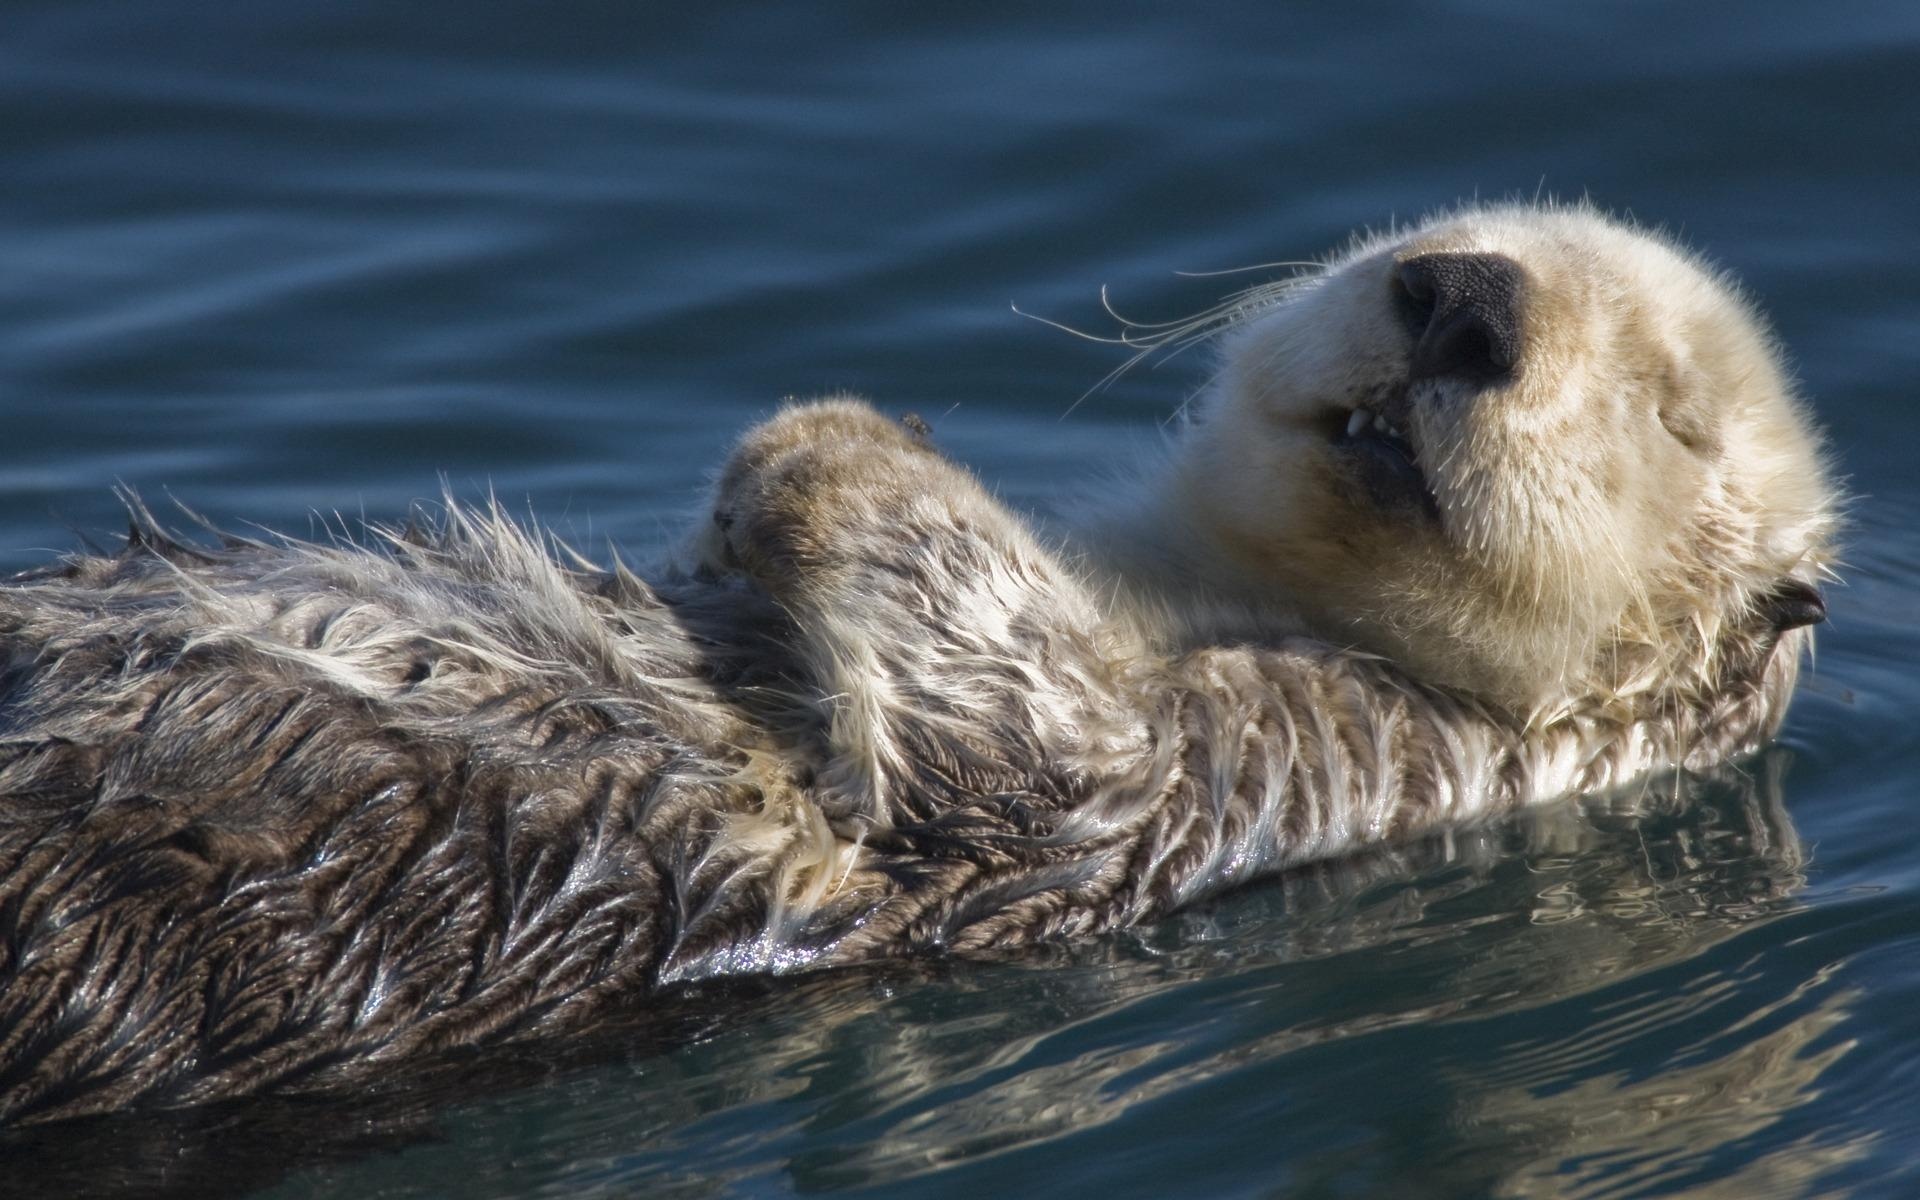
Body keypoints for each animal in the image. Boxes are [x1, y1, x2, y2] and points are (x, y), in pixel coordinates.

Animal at [0, 201, 1835, 1121]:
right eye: (1449, 233)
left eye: (1671, 413)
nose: (1463, 300)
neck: (1196, 586)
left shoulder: (1305, 760)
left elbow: (1027, 745)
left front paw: (824, 440)